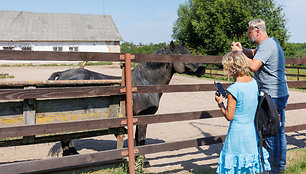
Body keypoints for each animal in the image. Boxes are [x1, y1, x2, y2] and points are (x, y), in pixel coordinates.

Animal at [48, 41, 206, 156]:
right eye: (182, 55)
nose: (202, 68)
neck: (144, 83)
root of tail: (63, 74)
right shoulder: (144, 117)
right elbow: (141, 140)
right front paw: (143, 161)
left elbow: (137, 139)